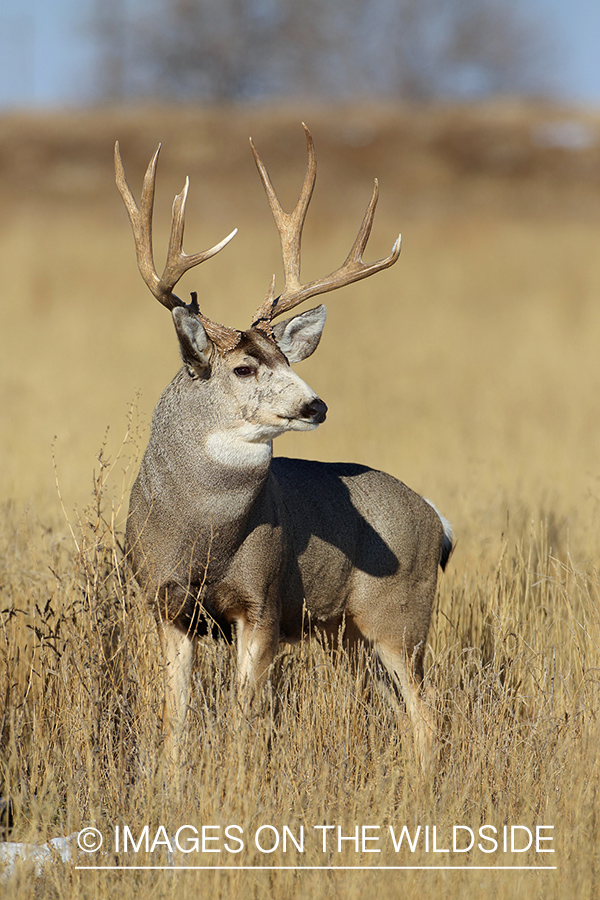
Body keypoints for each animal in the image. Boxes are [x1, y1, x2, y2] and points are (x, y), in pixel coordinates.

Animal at [115, 125, 453, 772]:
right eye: (245, 368)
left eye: (287, 360)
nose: (315, 405)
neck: (204, 537)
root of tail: (438, 521)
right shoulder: (166, 607)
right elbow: (176, 724)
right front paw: (172, 784)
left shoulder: (264, 604)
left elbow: (244, 721)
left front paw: (237, 781)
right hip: (350, 635)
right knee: (404, 714)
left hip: (400, 616)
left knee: (429, 716)